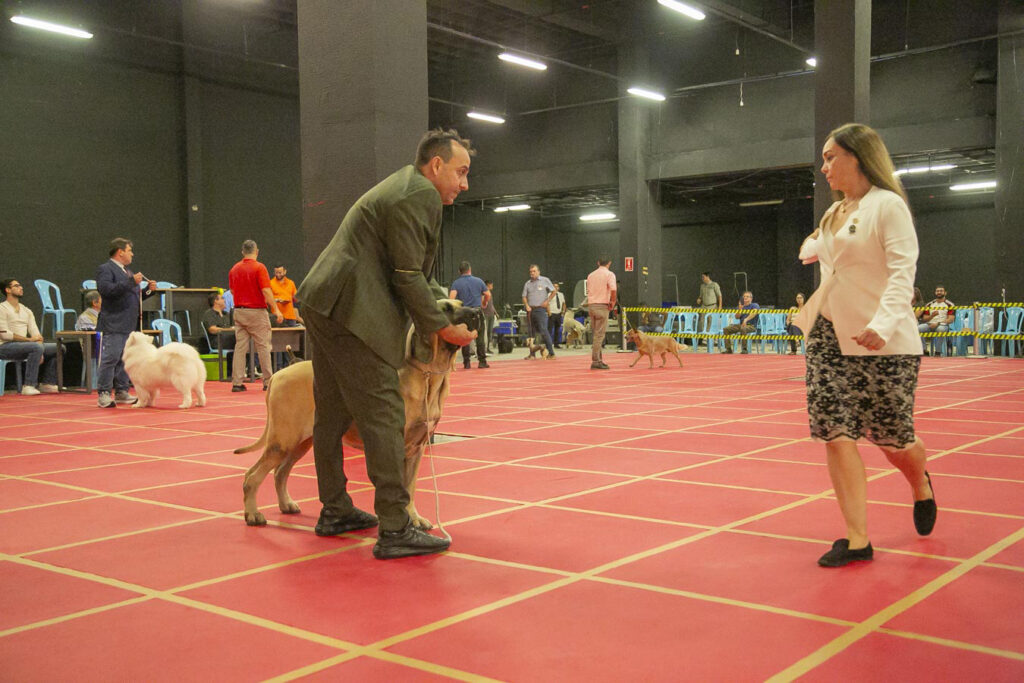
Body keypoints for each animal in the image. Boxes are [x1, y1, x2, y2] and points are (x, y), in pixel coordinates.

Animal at [234, 299, 479, 528]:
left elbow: (411, 486)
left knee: (280, 472)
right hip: (283, 440)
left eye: (460, 304)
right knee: (252, 476)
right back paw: (253, 514)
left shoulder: (417, 447)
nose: (476, 312)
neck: (428, 376)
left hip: (302, 442)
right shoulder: (397, 445)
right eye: (445, 309)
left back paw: (286, 504)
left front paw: (415, 518)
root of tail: (278, 374)